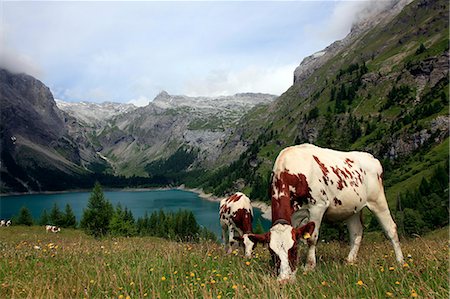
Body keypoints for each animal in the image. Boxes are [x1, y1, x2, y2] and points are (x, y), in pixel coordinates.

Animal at [243, 144, 404, 282]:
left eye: (293, 249)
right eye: (272, 252)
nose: (284, 280)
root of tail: (371, 157)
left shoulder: (318, 206)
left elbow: (311, 238)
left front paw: (309, 267)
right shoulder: (294, 215)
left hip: (377, 200)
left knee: (391, 228)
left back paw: (400, 262)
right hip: (353, 208)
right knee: (356, 232)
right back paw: (349, 261)